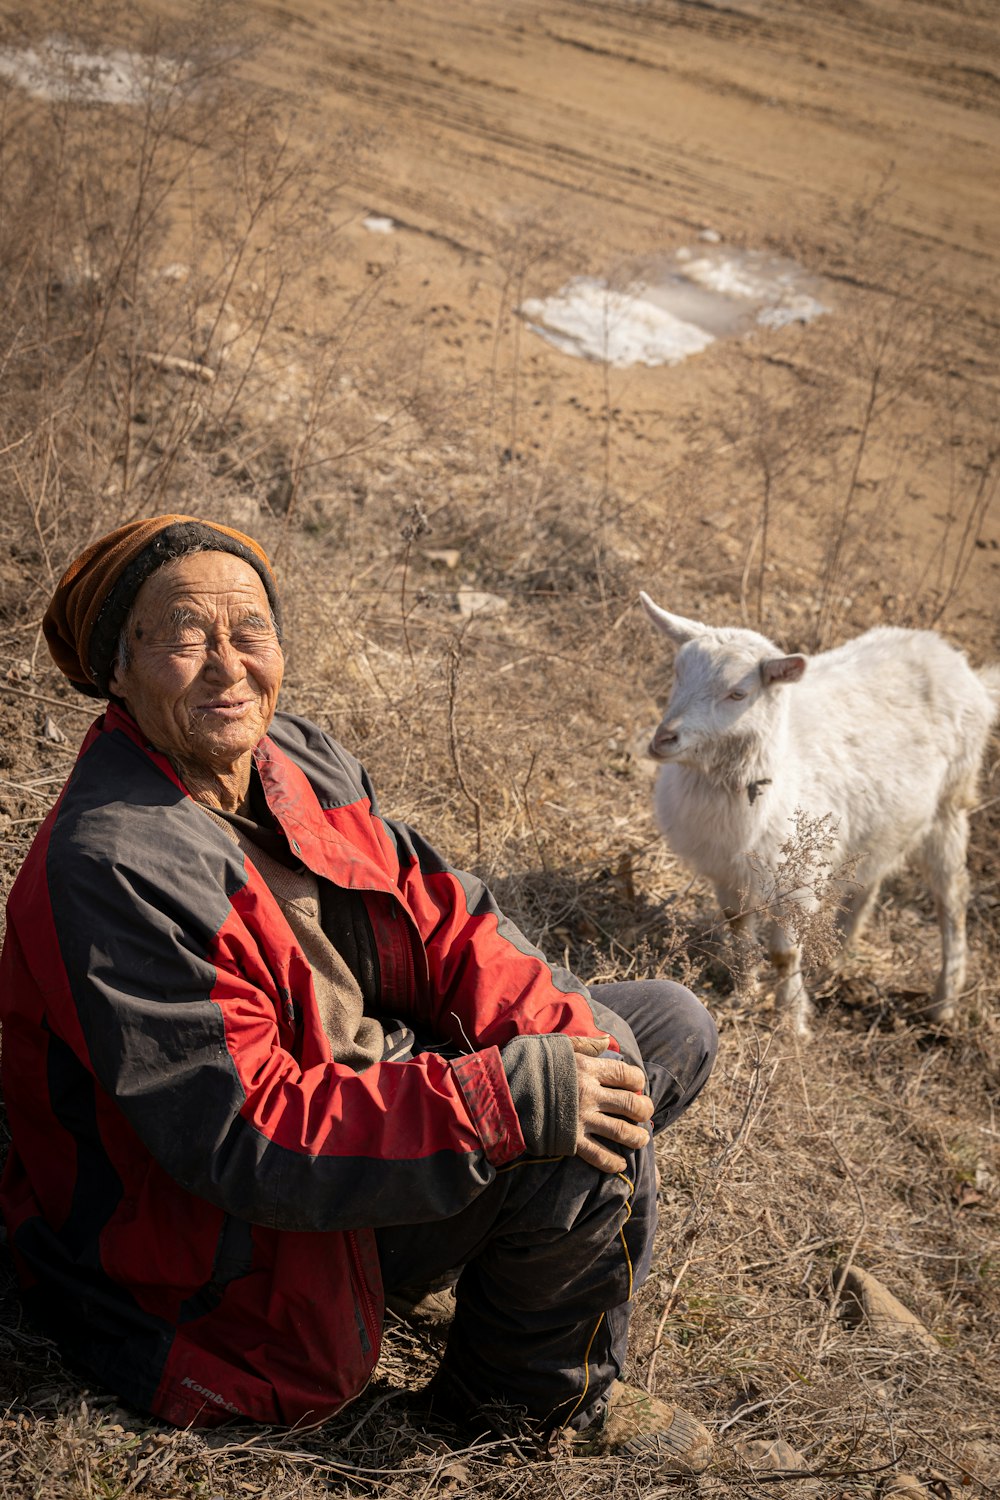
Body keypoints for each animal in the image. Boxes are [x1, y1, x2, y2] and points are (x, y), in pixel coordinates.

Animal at [641, 591, 1000, 1038]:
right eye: (677, 671)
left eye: (739, 694)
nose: (663, 740)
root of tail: (962, 667)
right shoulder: (729, 871)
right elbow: (739, 933)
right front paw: (743, 994)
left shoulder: (800, 876)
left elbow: (784, 953)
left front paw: (792, 1021)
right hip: (885, 820)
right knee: (871, 880)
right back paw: (837, 960)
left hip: (951, 804)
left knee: (952, 897)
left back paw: (944, 1003)